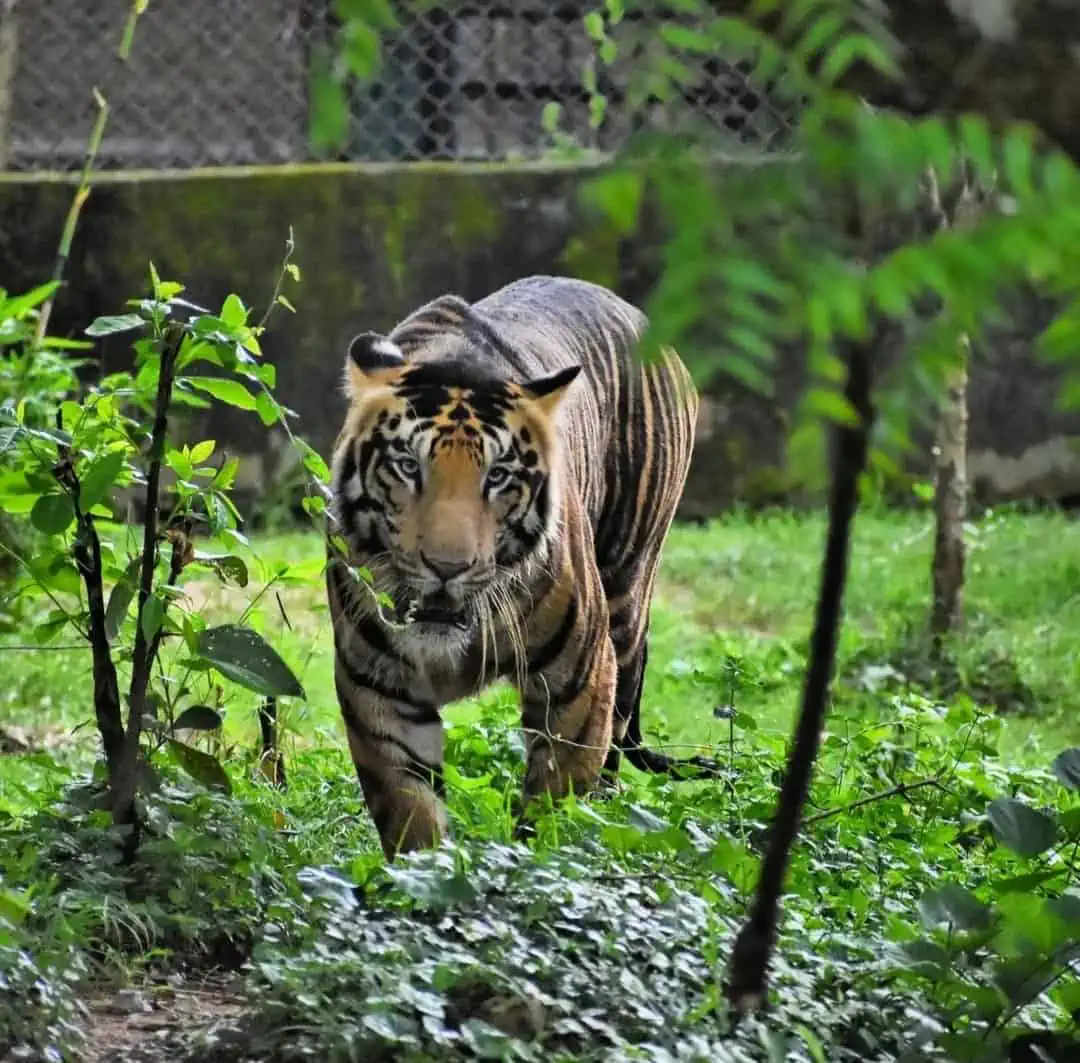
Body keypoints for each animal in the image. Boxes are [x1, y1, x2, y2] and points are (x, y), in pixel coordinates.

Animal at [326, 275, 721, 860]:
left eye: (498, 476)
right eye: (407, 466)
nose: (447, 567)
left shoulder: (579, 680)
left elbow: (551, 812)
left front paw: (528, 870)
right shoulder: (378, 685)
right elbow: (411, 812)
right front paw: (425, 877)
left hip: (628, 593)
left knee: (614, 751)